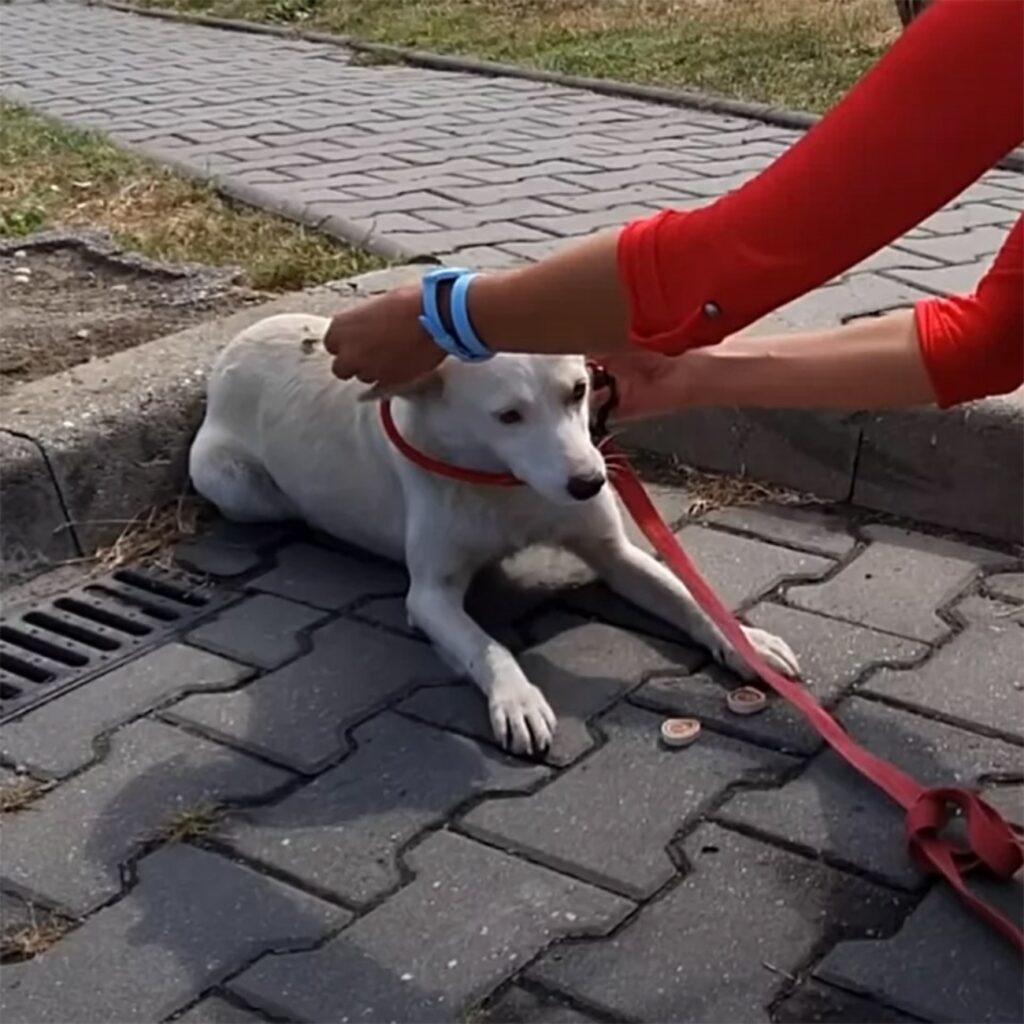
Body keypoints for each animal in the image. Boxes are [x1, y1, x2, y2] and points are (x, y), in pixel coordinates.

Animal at [192, 315, 798, 757]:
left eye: (579, 389)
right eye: (508, 416)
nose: (591, 482)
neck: (505, 484)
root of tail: (241, 338)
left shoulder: (614, 553)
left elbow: (688, 594)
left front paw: (746, 640)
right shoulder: (430, 596)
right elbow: (489, 647)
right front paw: (518, 698)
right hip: (233, 483)